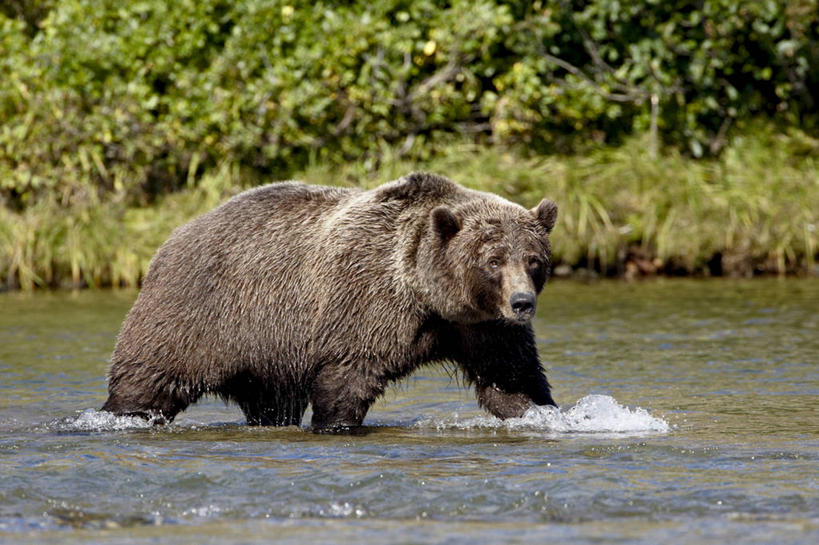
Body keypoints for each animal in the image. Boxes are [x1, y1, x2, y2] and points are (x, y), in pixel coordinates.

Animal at [102, 173, 560, 430]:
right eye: (493, 260)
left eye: (533, 259)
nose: (521, 303)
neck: (428, 296)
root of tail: (173, 236)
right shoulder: (366, 305)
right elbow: (347, 378)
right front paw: (335, 424)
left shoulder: (481, 327)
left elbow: (511, 380)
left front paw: (546, 412)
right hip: (197, 314)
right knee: (147, 380)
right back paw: (121, 414)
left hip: (266, 354)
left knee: (270, 402)